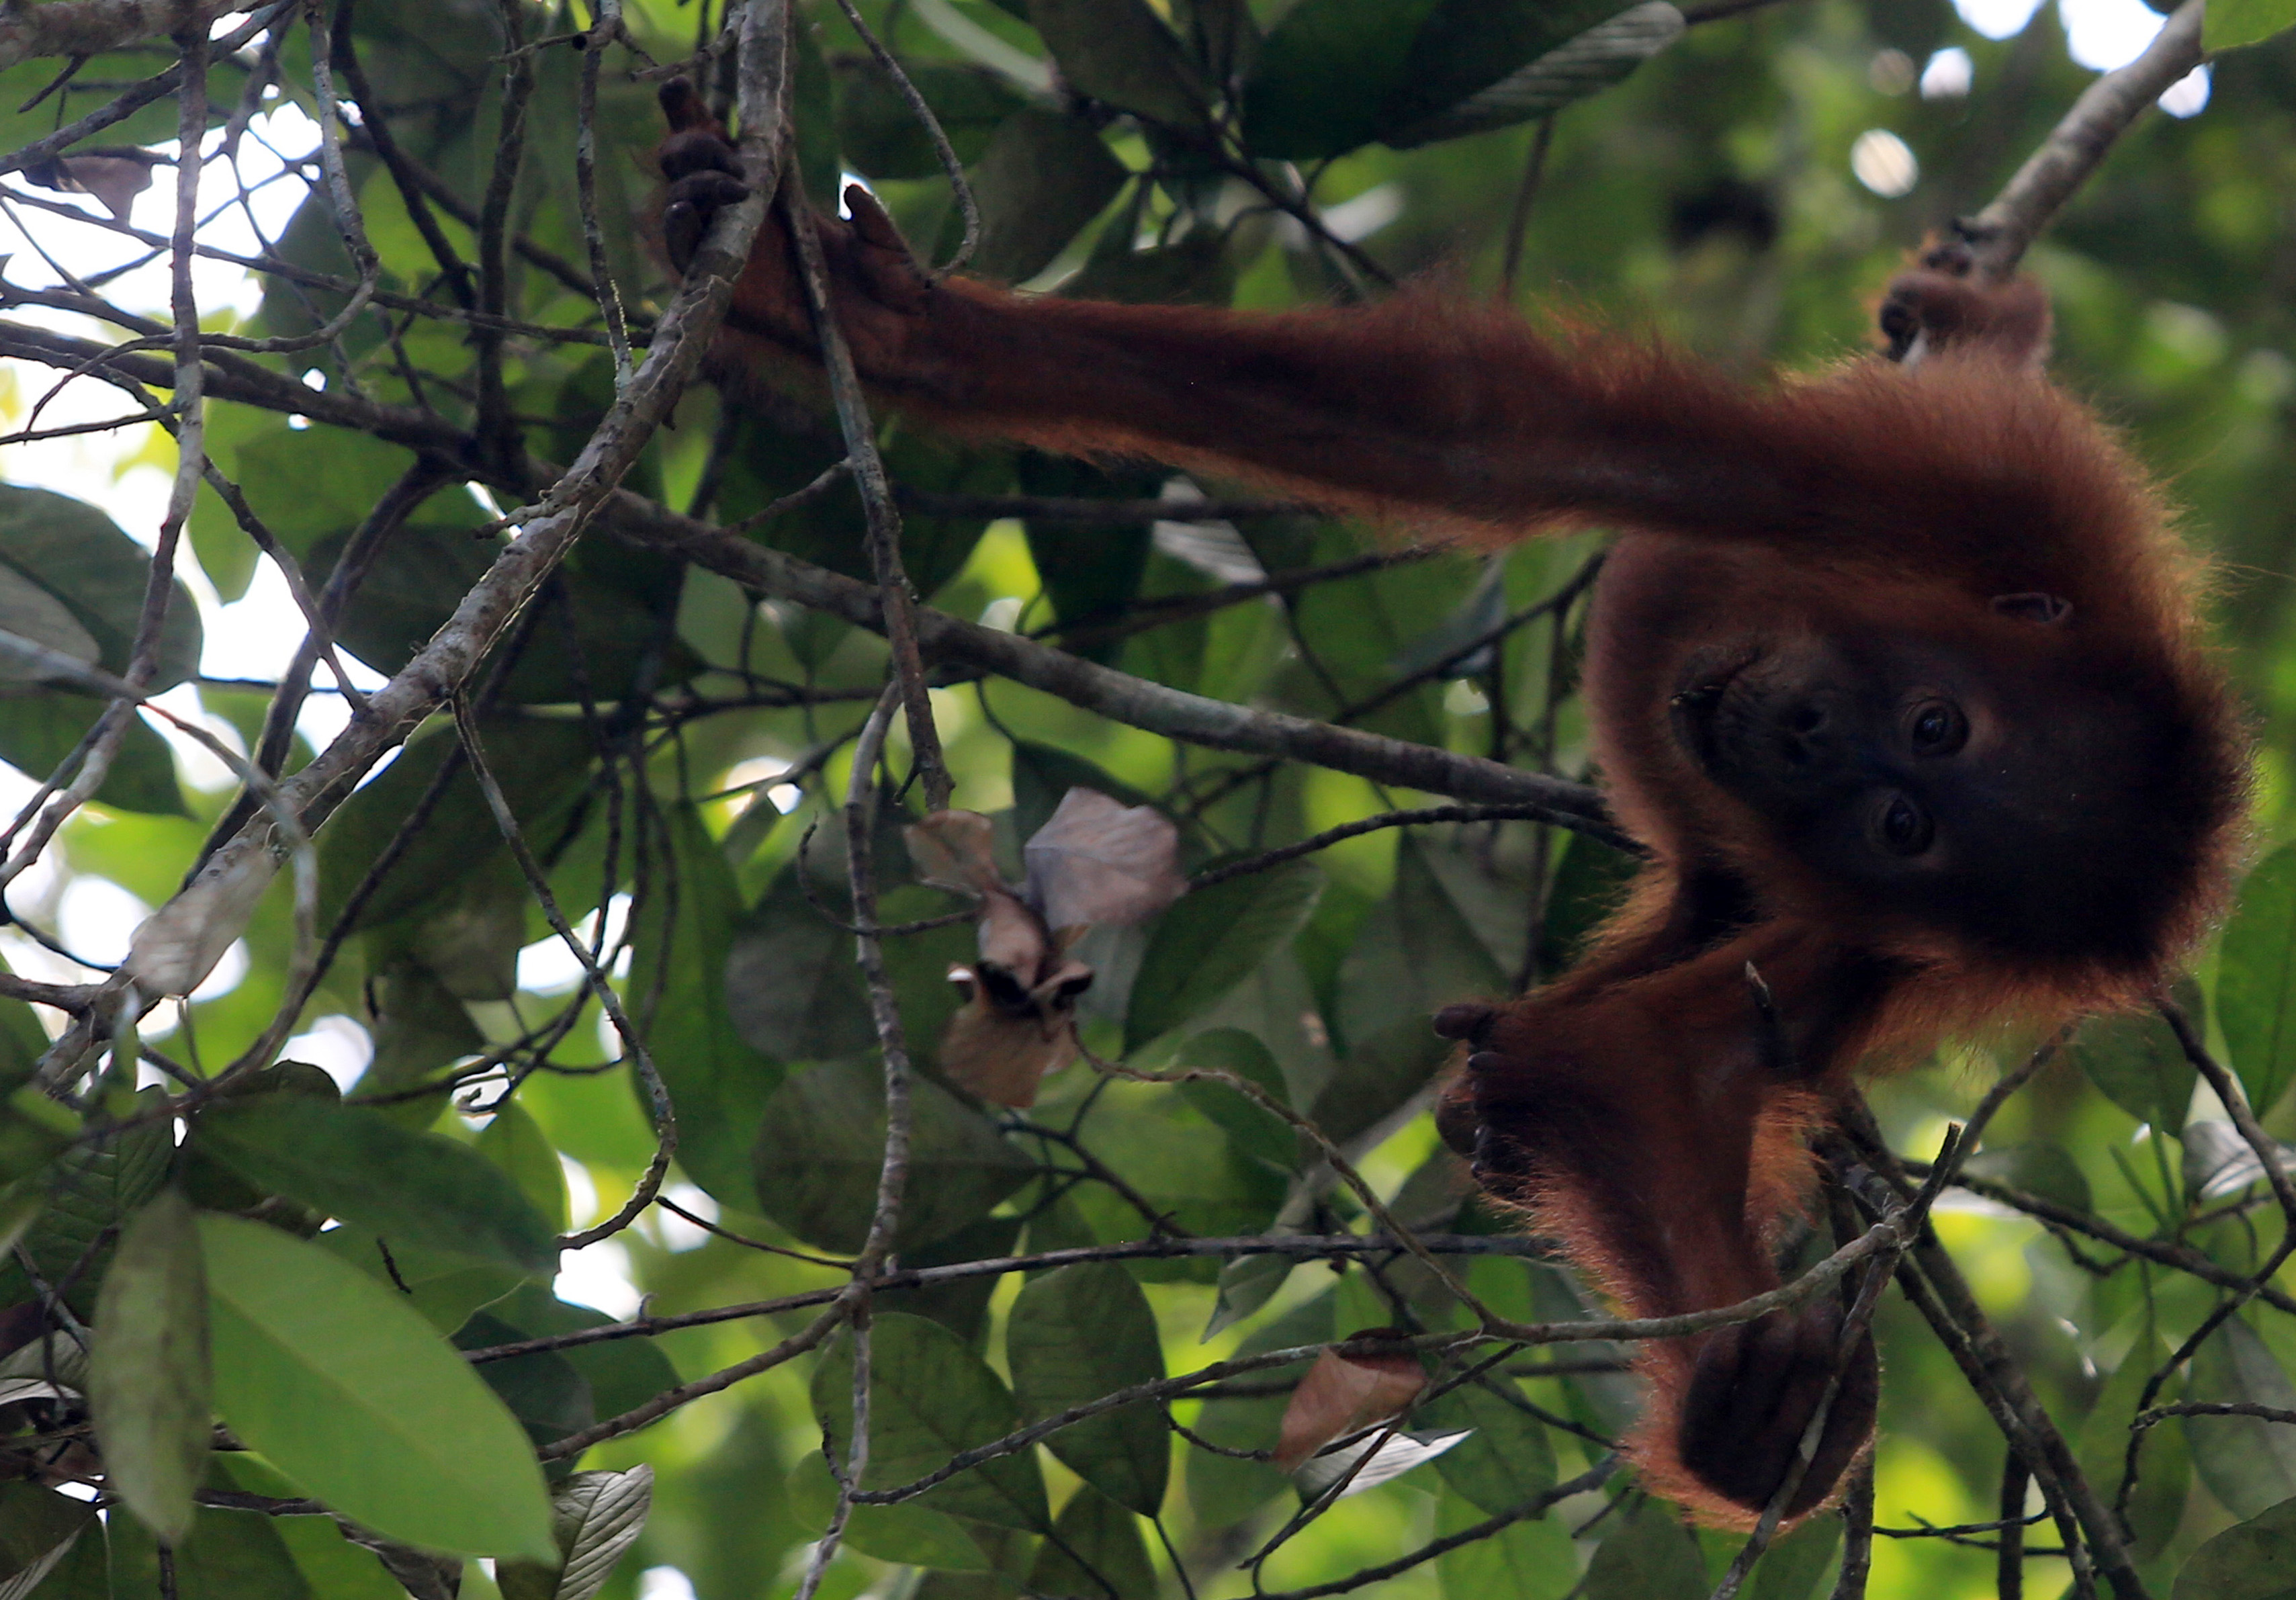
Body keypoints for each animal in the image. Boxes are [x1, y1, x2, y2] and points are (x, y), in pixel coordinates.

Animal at [654, 83, 2249, 1524]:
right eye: (1927, 728)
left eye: (1905, 827)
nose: (1812, 746)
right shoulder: (1941, 497)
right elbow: (1494, 439)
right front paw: (868, 321)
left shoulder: (1895, 940)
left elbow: (1637, 1067)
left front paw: (1748, 1418)